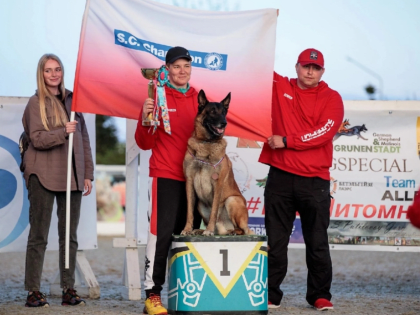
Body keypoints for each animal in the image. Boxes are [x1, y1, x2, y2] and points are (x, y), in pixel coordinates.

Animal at [181, 90, 253, 236]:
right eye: (213, 112)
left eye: (224, 112)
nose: (224, 123)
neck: (206, 143)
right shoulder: (189, 182)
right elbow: (189, 211)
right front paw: (187, 229)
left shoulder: (217, 184)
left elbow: (214, 211)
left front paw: (208, 231)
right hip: (201, 205)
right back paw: (201, 230)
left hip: (232, 200)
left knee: (243, 230)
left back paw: (230, 231)